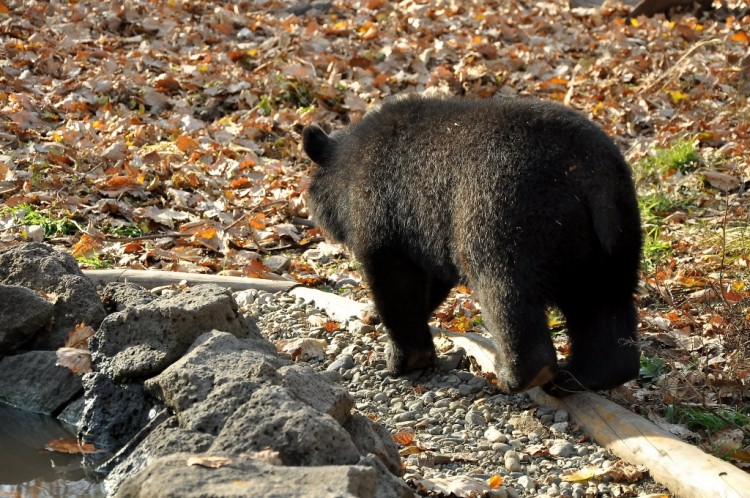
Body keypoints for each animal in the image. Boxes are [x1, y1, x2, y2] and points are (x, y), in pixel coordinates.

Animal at [302, 95, 644, 394]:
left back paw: (518, 376)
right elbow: (432, 280)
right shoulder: (428, 230)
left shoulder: (385, 212)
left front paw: (401, 358)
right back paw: (581, 377)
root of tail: (590, 175)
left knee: (506, 293)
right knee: (604, 300)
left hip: (507, 216)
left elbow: (395, 280)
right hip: (615, 233)